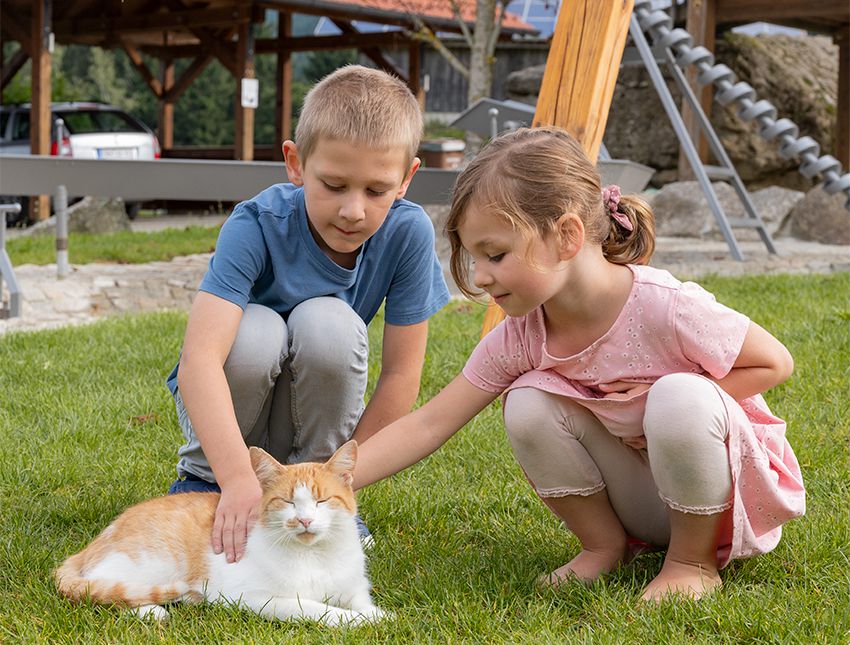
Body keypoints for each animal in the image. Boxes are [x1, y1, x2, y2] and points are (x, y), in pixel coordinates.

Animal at [53, 440, 384, 620]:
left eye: (322, 500)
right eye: (287, 501)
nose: (304, 520)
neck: (316, 556)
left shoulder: (353, 588)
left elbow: (362, 604)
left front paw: (380, 617)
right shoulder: (258, 598)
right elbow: (321, 611)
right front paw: (356, 622)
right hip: (153, 563)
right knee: (104, 590)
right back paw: (153, 610)